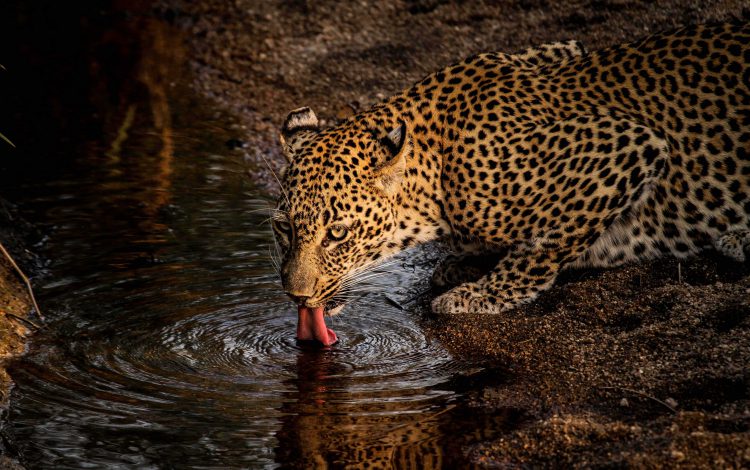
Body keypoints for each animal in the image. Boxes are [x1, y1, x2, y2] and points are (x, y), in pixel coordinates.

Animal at [274, 22, 750, 340]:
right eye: (284, 228)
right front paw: (466, 263)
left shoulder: (631, 142)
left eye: (337, 234)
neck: (439, 169)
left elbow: (546, 244)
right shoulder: (562, 49)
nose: (296, 296)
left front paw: (480, 294)